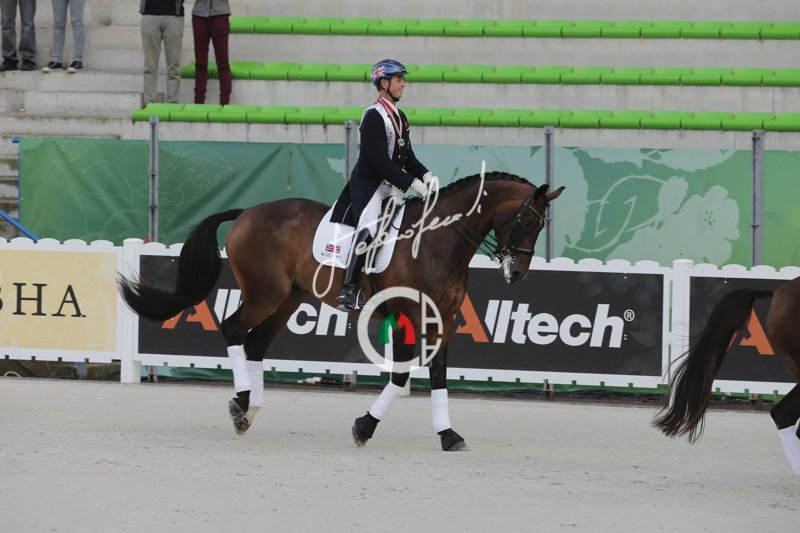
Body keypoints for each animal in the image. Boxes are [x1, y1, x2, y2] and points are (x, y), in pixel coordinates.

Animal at [119, 171, 565, 451]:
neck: (437, 242)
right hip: (265, 293)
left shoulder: (445, 320)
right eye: (527, 221)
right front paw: (364, 427)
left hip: (290, 297)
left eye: (541, 225)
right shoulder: (406, 316)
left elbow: (438, 377)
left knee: (256, 344)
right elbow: (401, 377)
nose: (517, 273)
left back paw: (250, 410)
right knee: (233, 330)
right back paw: (241, 402)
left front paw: (449, 436)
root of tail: (247, 212)